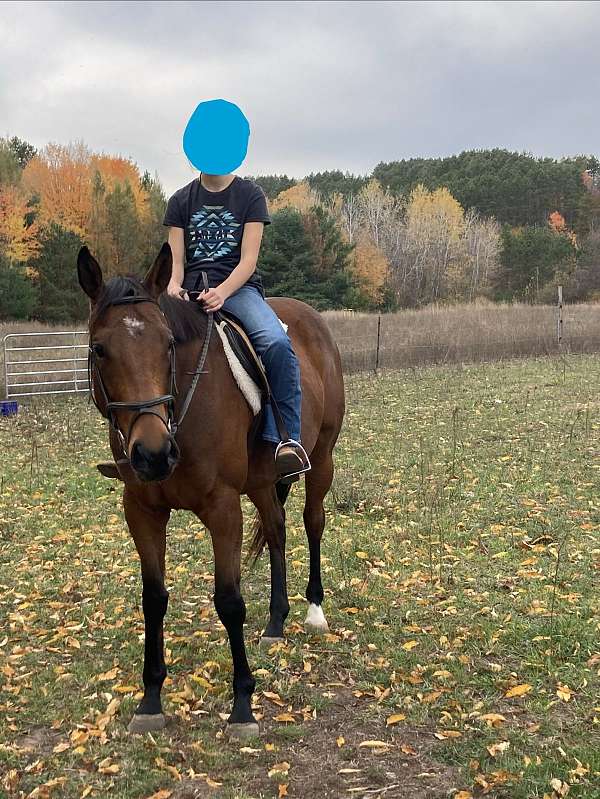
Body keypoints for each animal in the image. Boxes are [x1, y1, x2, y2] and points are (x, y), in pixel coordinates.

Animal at [77, 242, 345, 739]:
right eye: (99, 349)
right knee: (276, 531)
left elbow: (229, 601)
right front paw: (150, 698)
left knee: (312, 524)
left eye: (167, 344)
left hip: (322, 459)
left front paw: (242, 705)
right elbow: (153, 599)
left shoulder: (223, 507)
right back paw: (276, 621)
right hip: (260, 482)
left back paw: (314, 610)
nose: (153, 453)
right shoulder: (140, 510)